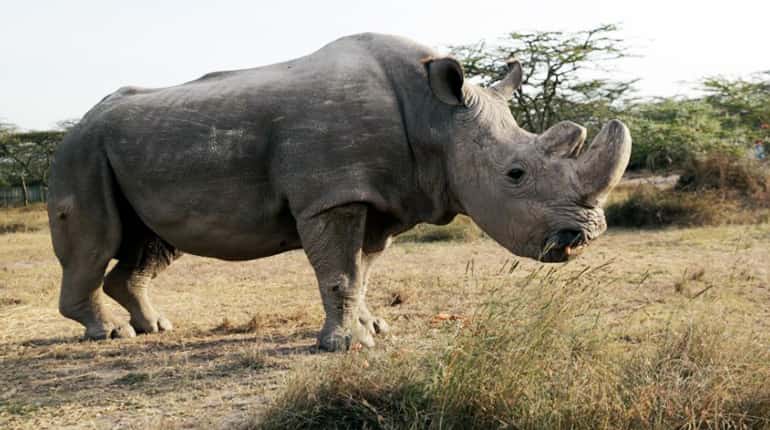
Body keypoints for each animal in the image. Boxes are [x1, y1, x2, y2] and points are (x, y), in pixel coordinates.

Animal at [47, 33, 631, 351]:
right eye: (515, 174)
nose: (584, 237)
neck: (437, 118)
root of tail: (77, 124)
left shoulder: (381, 198)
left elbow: (362, 272)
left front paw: (375, 327)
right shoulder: (332, 196)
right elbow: (340, 273)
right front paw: (346, 346)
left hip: (129, 151)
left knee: (151, 245)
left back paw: (155, 328)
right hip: (81, 153)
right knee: (97, 241)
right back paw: (111, 335)